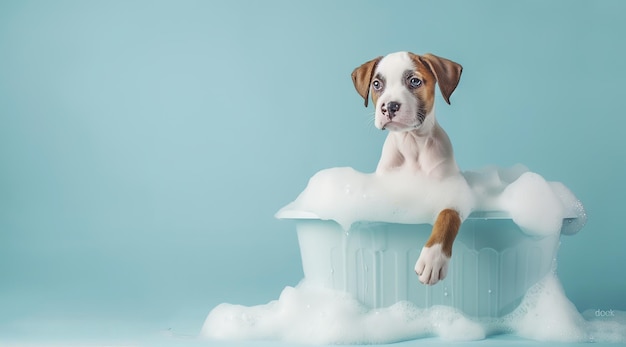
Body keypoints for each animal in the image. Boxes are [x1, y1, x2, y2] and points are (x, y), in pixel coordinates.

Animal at [354, 51, 460, 286]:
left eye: (414, 81)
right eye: (376, 84)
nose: (389, 106)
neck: (412, 145)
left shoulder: (454, 192)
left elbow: (448, 215)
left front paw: (433, 258)